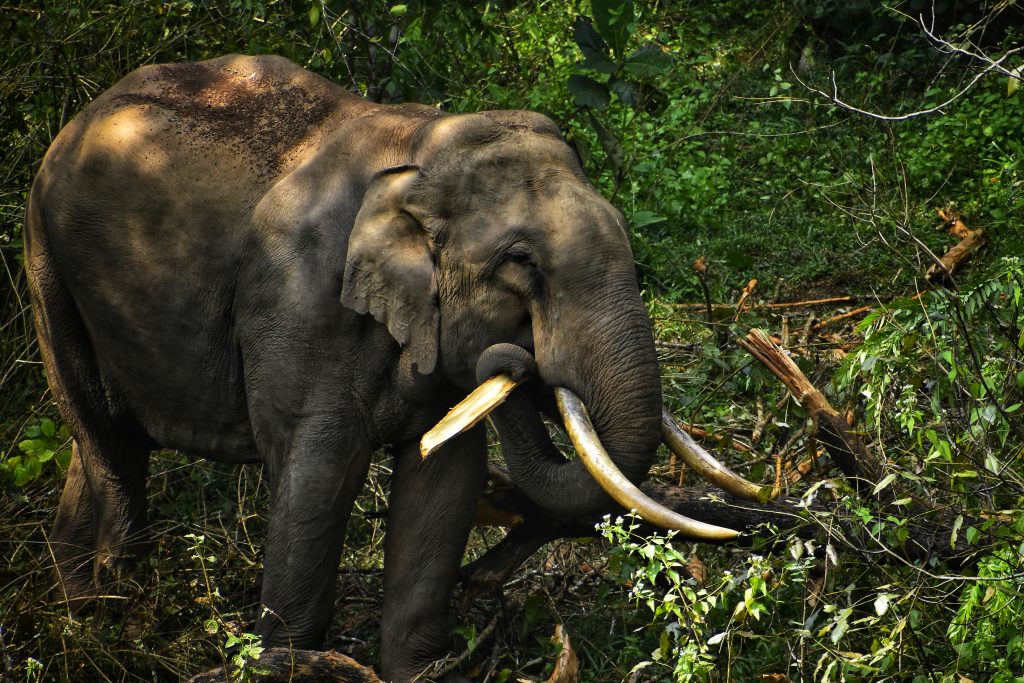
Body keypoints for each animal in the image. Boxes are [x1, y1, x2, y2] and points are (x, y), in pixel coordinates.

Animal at [25, 54, 752, 680]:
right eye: (522, 264)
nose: (518, 358)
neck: (423, 151)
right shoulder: (297, 302)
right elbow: (317, 476)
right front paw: (291, 665)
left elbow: (443, 481)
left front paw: (420, 669)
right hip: (44, 260)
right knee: (106, 442)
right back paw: (112, 618)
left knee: (100, 448)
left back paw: (78, 615)